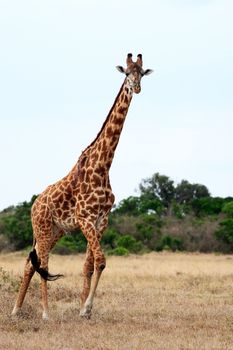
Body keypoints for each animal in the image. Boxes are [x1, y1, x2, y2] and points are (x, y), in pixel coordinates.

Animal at [11, 52, 152, 320]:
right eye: (126, 73)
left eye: (141, 73)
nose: (137, 88)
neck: (103, 166)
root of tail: (33, 205)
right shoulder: (85, 219)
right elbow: (101, 260)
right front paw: (86, 308)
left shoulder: (101, 220)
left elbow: (89, 265)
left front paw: (82, 309)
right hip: (42, 228)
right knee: (42, 264)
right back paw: (45, 313)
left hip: (56, 231)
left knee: (29, 263)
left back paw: (16, 310)